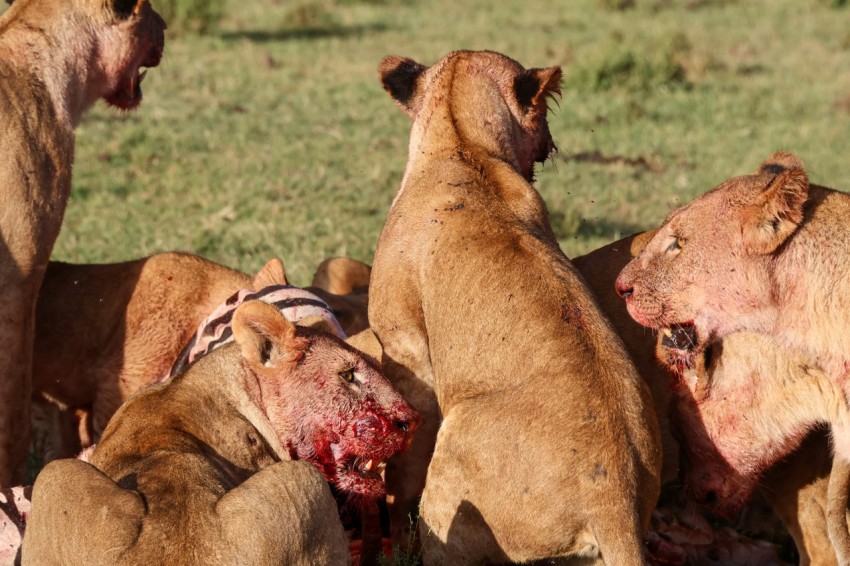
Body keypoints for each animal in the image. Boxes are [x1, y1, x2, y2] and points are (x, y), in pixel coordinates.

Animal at [369, 50, 661, 564]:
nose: (551, 140)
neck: (463, 146)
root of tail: (616, 503)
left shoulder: (405, 353)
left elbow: (403, 465)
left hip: (451, 466)